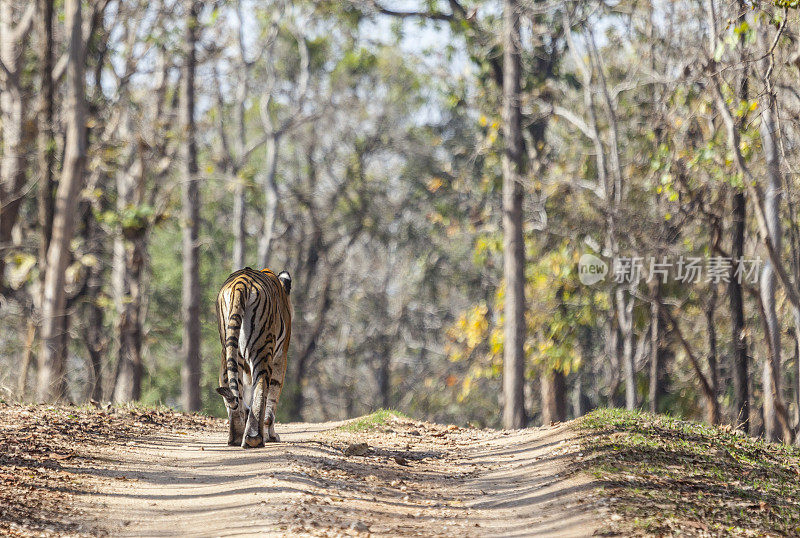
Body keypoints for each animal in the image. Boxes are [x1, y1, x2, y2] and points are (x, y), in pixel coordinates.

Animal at [214, 266, 292, 446]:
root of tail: (241, 283)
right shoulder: (281, 357)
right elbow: (273, 395)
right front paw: (272, 435)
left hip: (228, 349)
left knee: (230, 385)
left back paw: (236, 436)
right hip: (263, 348)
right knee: (262, 385)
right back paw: (254, 438)